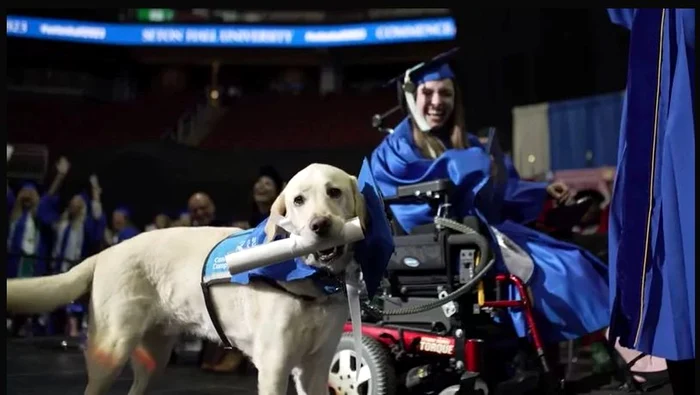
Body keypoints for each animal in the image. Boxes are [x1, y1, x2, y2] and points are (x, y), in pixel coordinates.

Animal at [6, 163, 366, 395]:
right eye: (298, 201)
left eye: (334, 192)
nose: (319, 225)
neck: (311, 282)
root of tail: (106, 253)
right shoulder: (274, 366)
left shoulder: (315, 368)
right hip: (110, 351)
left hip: (153, 361)